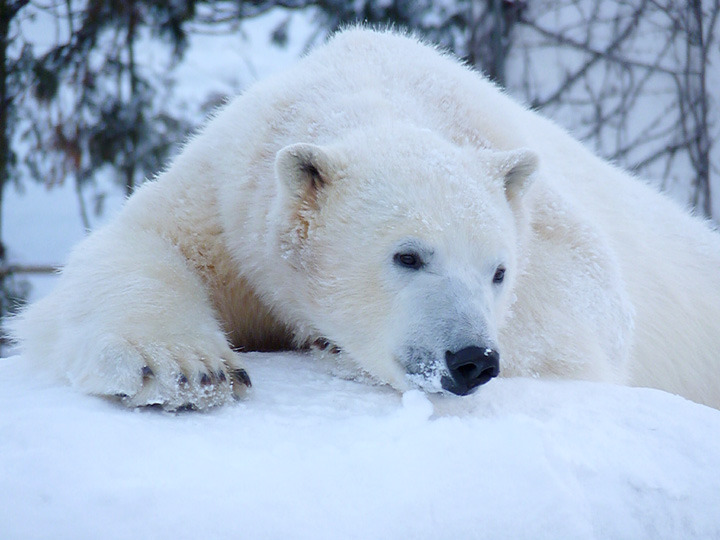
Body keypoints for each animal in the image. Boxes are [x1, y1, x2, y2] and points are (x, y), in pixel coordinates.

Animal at [9, 28, 720, 410]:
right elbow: (138, 244)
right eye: (408, 255)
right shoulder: (226, 201)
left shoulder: (546, 223)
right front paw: (185, 369)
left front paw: (330, 344)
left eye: (499, 271)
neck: (368, 89)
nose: (471, 360)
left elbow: (587, 315)